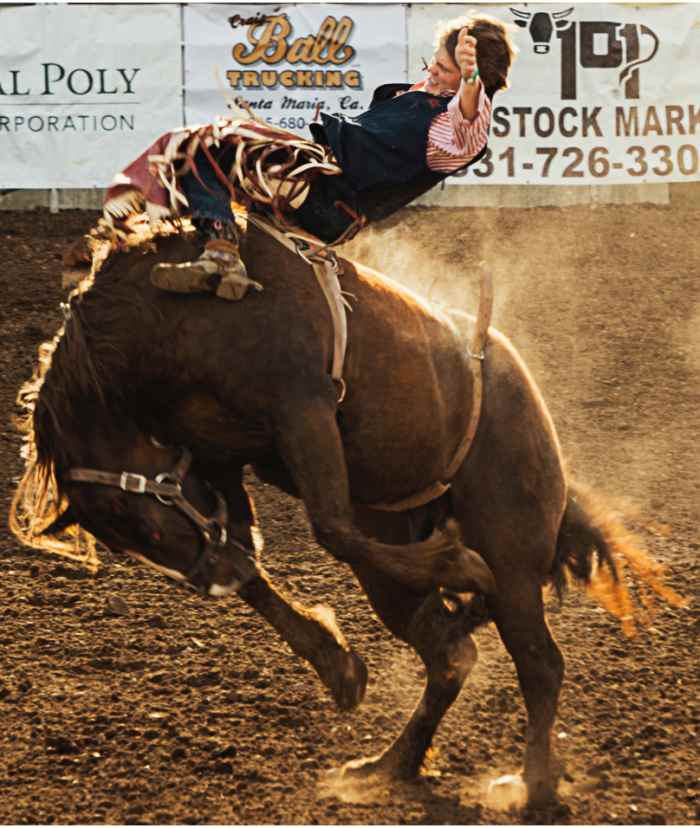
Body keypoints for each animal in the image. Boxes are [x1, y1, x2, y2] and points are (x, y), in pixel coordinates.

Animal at [10, 218, 682, 808]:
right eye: (127, 540)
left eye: (145, 523)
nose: (211, 582)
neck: (169, 320)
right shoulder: (216, 458)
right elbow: (256, 560)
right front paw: (338, 666)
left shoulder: (303, 409)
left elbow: (328, 527)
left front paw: (457, 566)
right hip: (395, 574)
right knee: (449, 657)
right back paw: (390, 763)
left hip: (513, 548)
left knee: (539, 664)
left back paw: (534, 784)